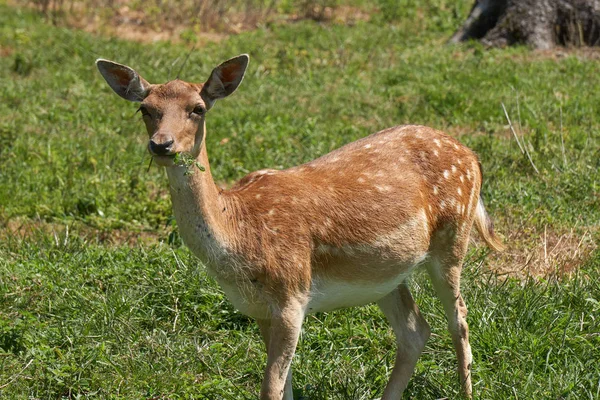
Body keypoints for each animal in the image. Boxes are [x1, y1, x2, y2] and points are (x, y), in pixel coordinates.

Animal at [96, 54, 504, 400]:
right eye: (145, 109)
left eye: (198, 108)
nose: (161, 144)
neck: (241, 234)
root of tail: (472, 156)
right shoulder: (259, 309)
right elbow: (283, 387)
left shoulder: (292, 294)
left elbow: (270, 388)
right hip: (385, 273)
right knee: (415, 331)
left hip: (453, 234)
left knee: (459, 318)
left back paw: (467, 391)